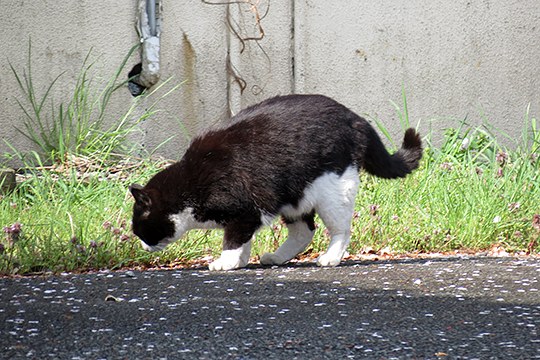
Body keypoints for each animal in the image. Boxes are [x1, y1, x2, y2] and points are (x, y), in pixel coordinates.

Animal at [130, 95, 422, 270]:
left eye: (139, 229)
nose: (143, 246)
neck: (190, 186)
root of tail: (355, 118)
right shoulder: (247, 215)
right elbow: (242, 240)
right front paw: (240, 261)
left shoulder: (246, 210)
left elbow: (233, 239)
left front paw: (226, 262)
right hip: (295, 196)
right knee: (304, 231)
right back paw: (277, 257)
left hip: (333, 192)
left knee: (340, 229)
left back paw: (330, 257)